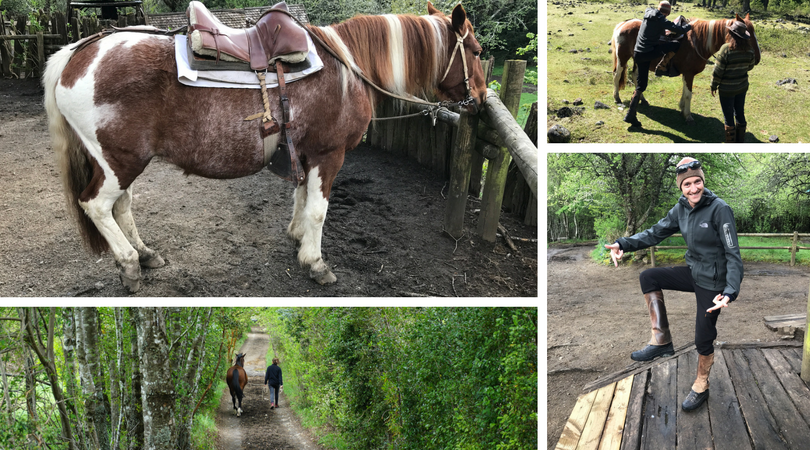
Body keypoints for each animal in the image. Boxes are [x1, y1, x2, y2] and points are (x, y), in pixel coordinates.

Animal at [41, 2, 482, 292]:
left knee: (122, 207)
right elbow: (319, 210)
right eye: (476, 51)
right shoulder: (329, 154)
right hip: (119, 161)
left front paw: (297, 237)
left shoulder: (305, 153)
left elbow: (301, 198)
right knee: (97, 205)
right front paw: (315, 262)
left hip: (121, 161)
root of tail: (78, 51)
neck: (348, 68)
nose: (479, 99)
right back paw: (130, 265)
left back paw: (146, 254)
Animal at [608, 13, 760, 124]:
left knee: (635, 77)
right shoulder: (689, 74)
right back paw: (617, 98)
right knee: (617, 75)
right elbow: (688, 94)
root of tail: (624, 23)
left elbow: (684, 91)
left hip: (639, 61)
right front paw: (687, 115)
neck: (699, 42)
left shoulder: (686, 74)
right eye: (747, 35)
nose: (757, 58)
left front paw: (682, 108)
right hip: (622, 58)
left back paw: (643, 100)